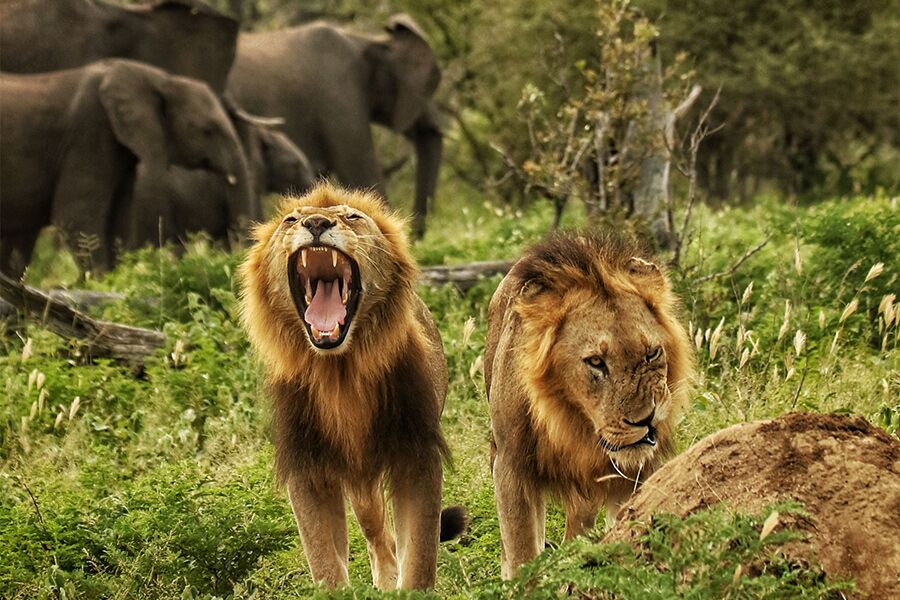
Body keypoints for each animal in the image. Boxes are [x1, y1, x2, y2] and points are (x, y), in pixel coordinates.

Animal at [0, 59, 255, 276]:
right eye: (207, 130)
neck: (159, 79)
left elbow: (118, 219)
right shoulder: (90, 133)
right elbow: (75, 214)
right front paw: (99, 283)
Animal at [239, 183, 464, 590]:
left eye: (353, 217)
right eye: (291, 219)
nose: (316, 222)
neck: (339, 371)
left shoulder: (417, 453)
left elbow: (420, 555)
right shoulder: (308, 463)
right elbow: (325, 561)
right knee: (376, 531)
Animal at [484, 231, 695, 579]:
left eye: (651, 353)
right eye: (596, 362)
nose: (646, 420)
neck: (572, 423)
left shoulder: (638, 473)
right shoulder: (511, 466)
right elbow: (521, 552)